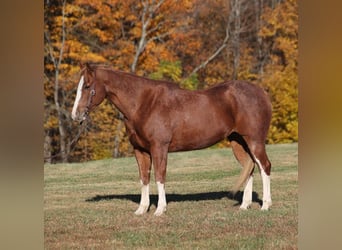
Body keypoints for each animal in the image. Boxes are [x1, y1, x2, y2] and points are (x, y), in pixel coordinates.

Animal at [72, 63, 272, 216]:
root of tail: (261, 92)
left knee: (264, 166)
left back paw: (266, 205)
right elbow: (144, 178)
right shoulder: (140, 151)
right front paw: (142, 209)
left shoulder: (159, 148)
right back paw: (245, 205)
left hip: (254, 141)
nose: (76, 115)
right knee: (249, 167)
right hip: (238, 142)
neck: (144, 104)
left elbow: (160, 176)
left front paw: (160, 209)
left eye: (87, 86)